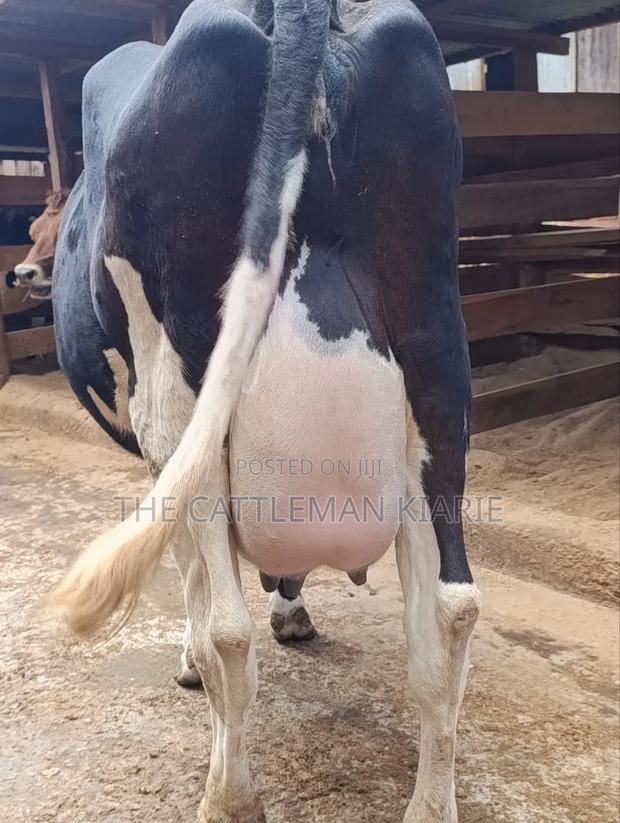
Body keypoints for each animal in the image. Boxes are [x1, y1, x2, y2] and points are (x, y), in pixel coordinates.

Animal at [51, 1, 480, 820]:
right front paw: (293, 608)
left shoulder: (161, 455)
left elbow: (192, 578)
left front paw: (192, 660)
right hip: (437, 361)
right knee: (451, 610)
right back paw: (431, 803)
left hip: (177, 394)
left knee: (229, 628)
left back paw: (227, 794)